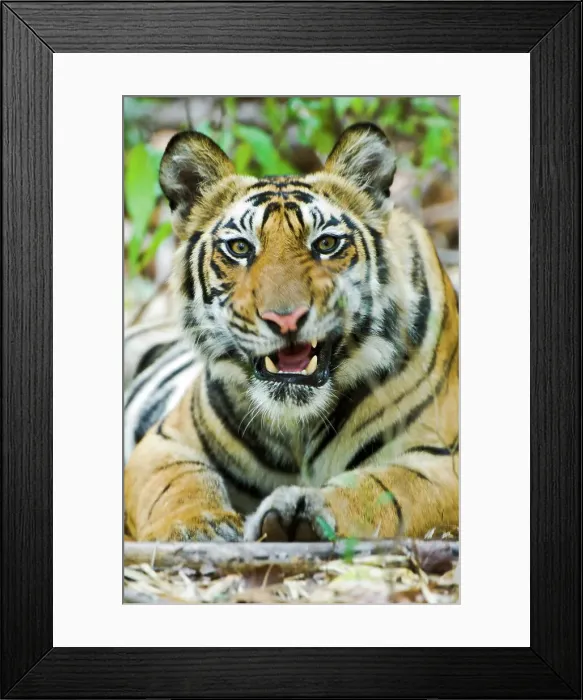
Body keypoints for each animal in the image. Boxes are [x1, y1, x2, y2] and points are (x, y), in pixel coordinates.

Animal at [124, 122, 459, 543]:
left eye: (326, 244)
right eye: (239, 248)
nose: (285, 319)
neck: (297, 426)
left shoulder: (442, 459)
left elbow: (382, 488)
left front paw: (303, 513)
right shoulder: (166, 441)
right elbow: (179, 483)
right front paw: (197, 527)